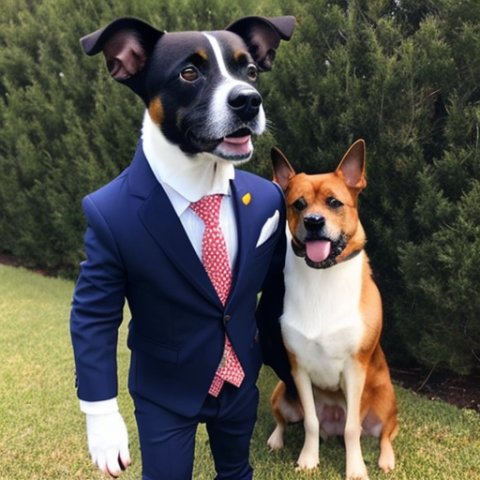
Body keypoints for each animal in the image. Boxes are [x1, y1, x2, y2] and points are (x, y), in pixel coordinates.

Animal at [268, 141, 400, 478]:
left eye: (334, 202)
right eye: (298, 204)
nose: (314, 222)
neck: (323, 276)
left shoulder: (355, 368)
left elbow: (353, 428)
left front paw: (355, 469)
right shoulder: (298, 370)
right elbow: (311, 423)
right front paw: (308, 458)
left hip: (386, 400)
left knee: (385, 433)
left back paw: (386, 458)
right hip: (282, 390)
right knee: (285, 420)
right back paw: (277, 439)